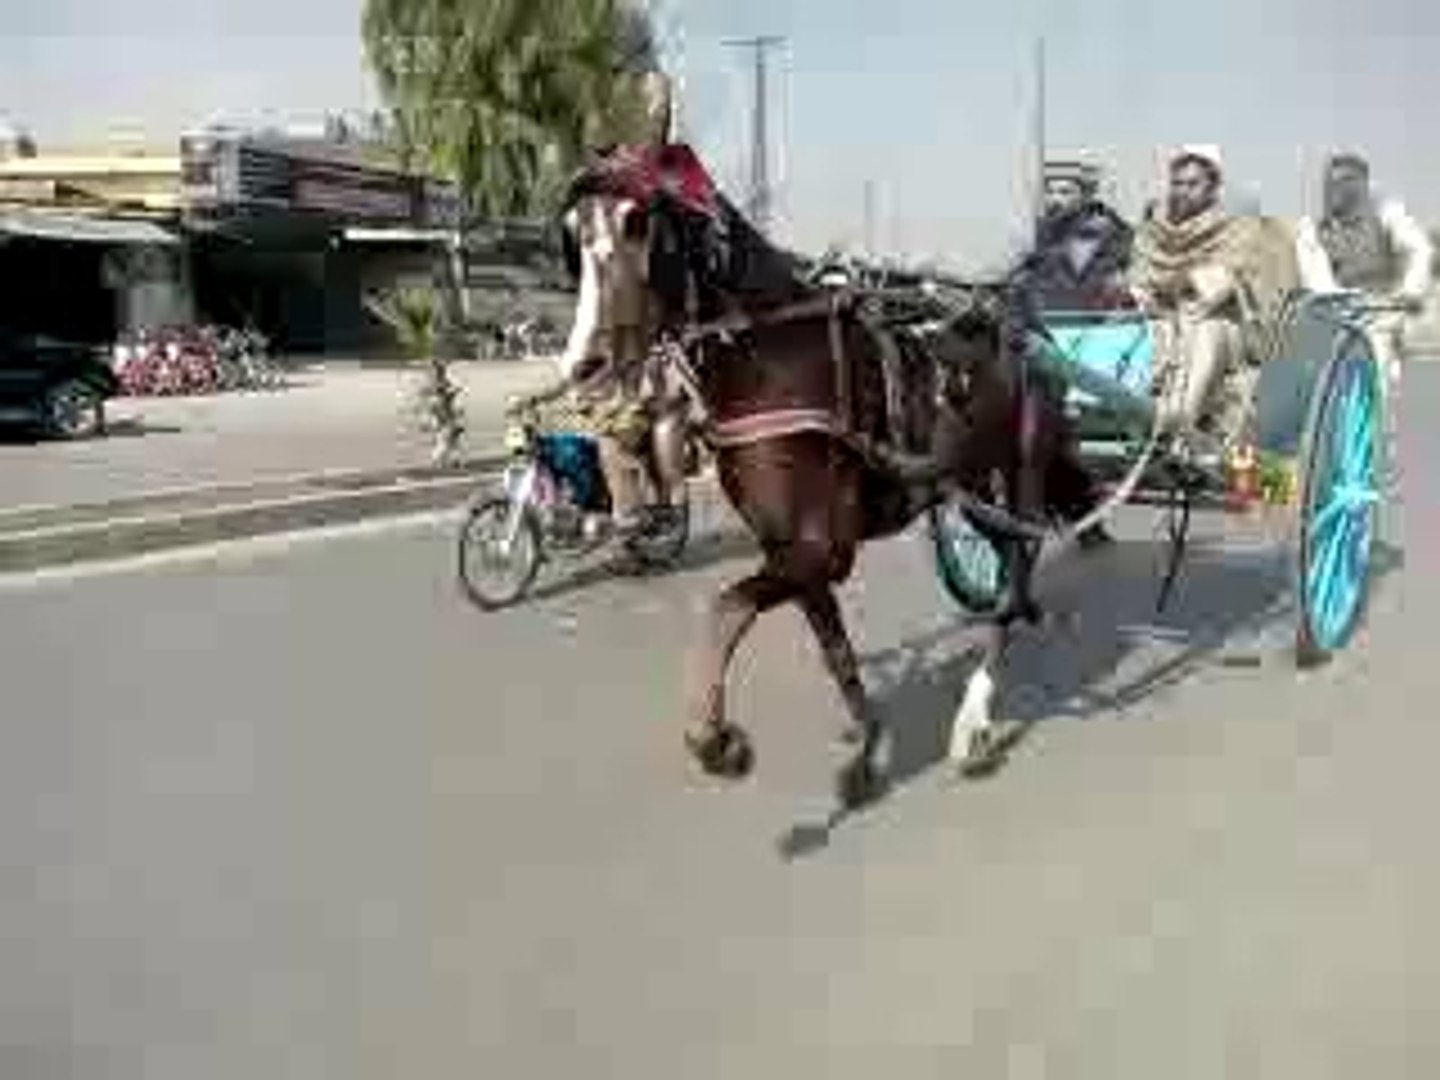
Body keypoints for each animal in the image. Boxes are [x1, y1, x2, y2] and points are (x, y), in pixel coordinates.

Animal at [555, 146, 1094, 812]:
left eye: (638, 224)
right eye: (573, 234)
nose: (584, 365)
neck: (771, 360)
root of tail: (1028, 328)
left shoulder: (820, 550)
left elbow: (726, 608)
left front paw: (717, 742)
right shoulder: (792, 549)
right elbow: (834, 650)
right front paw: (867, 748)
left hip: (1022, 465)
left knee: (1019, 557)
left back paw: (976, 716)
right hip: (968, 484)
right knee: (1007, 561)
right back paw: (1020, 618)